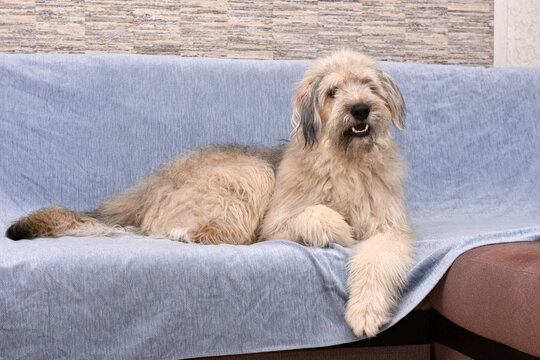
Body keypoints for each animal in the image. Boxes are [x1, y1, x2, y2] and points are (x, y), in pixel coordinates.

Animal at [5, 50, 414, 338]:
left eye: (370, 86)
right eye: (332, 92)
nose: (360, 109)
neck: (346, 162)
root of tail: (150, 185)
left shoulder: (388, 229)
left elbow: (378, 260)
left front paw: (365, 313)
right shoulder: (277, 222)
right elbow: (314, 215)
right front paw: (340, 228)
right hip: (253, 172)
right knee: (217, 232)